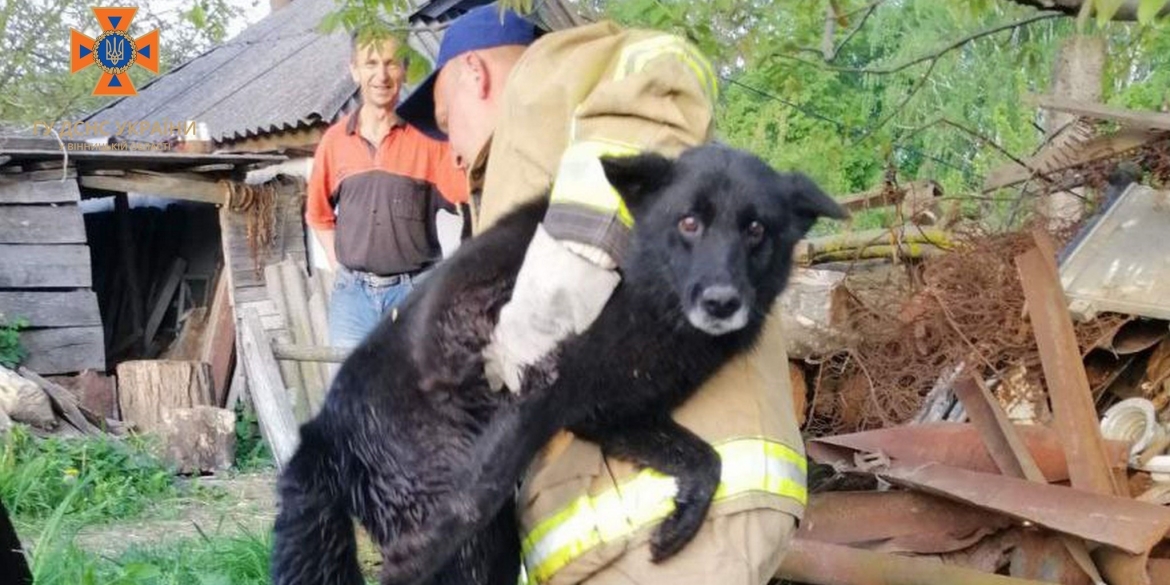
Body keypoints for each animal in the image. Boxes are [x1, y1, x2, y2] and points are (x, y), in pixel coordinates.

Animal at [270, 142, 847, 585]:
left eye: (756, 230)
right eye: (689, 222)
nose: (722, 303)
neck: (649, 300)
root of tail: (323, 429)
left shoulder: (610, 413)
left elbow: (708, 461)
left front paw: (681, 522)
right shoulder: (534, 385)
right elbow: (477, 491)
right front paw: (417, 552)